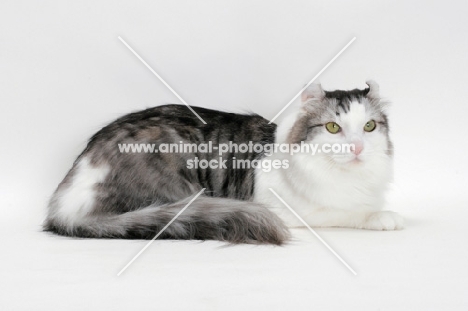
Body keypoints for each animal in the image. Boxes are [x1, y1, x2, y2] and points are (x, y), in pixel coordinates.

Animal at [43, 81, 402, 246]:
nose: (357, 147)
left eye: (369, 126)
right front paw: (385, 216)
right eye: (332, 128)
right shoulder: (292, 210)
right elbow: (349, 212)